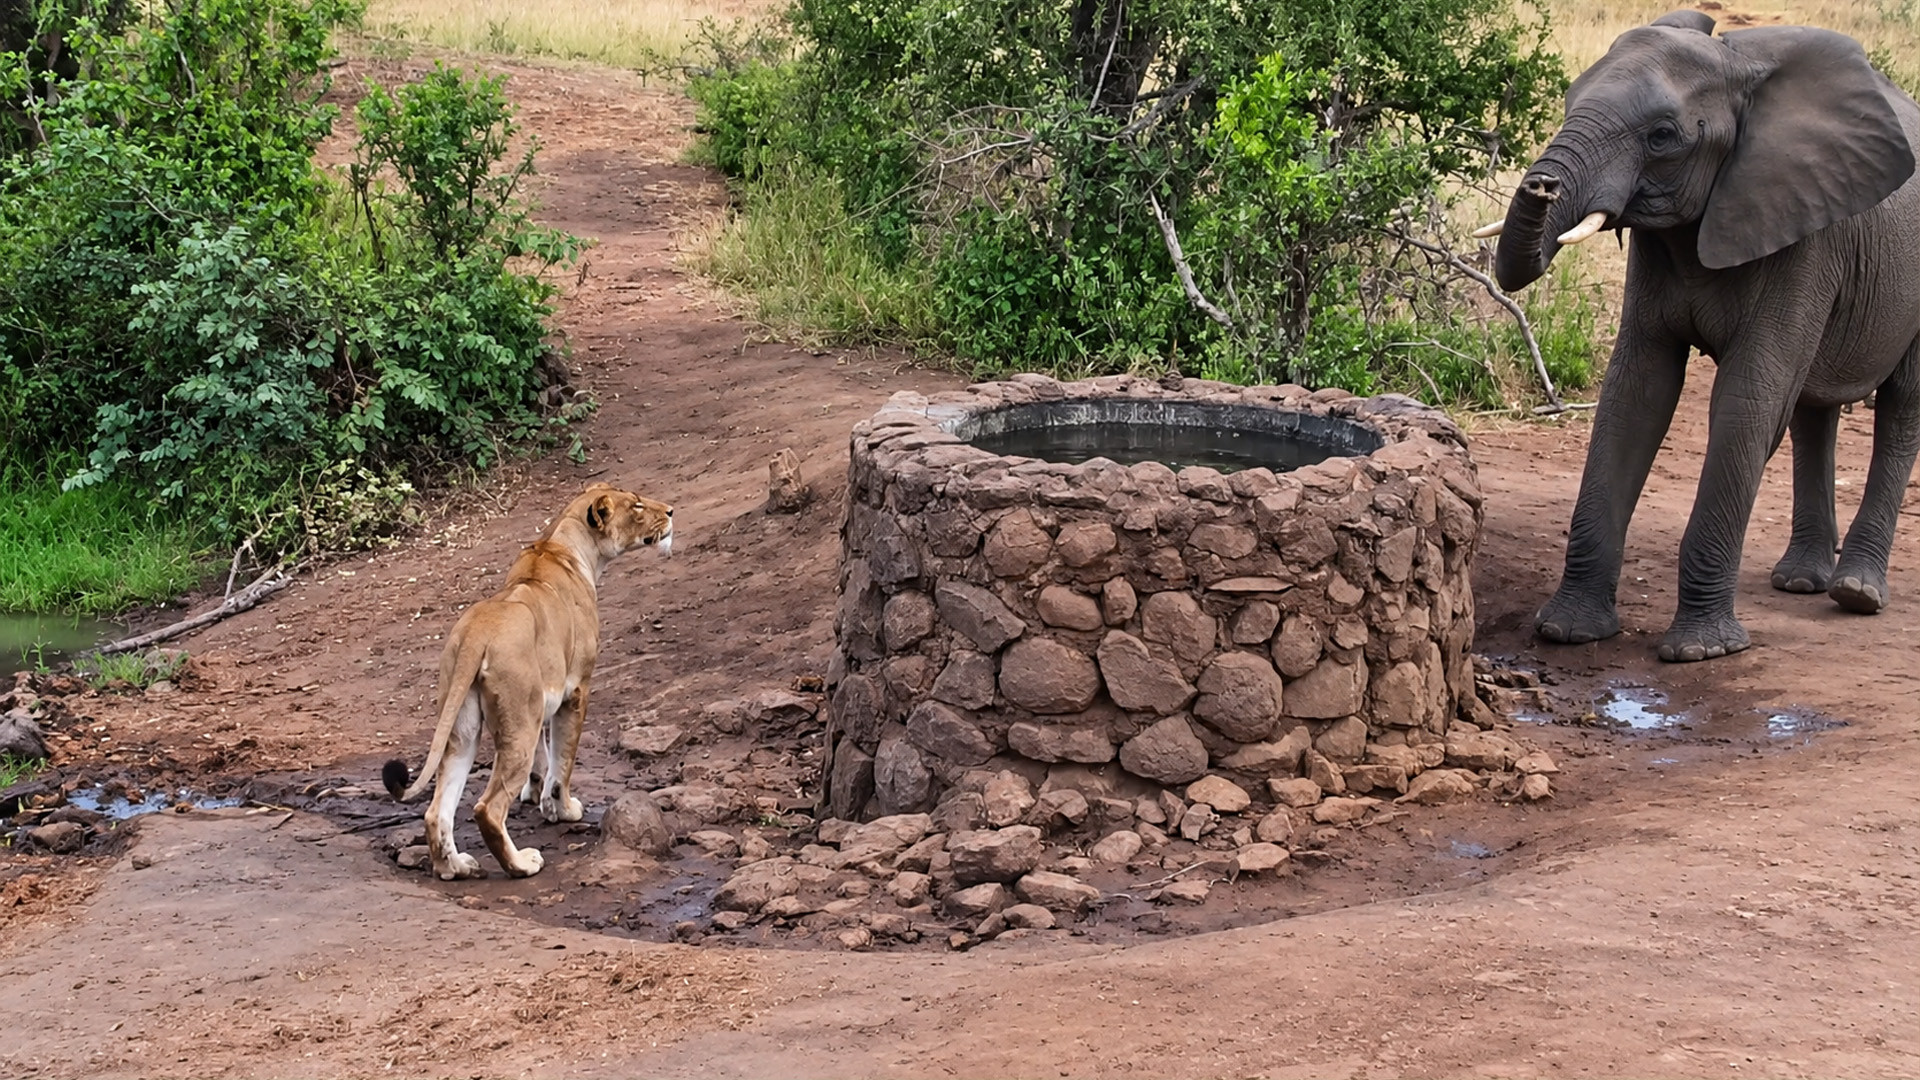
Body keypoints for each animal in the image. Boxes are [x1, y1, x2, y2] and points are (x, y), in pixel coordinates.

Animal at [381, 482, 673, 880]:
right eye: (638, 506)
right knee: (487, 809)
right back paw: (521, 864)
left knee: (436, 811)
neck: (559, 544)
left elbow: (544, 754)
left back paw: (455, 867)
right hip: (518, 723)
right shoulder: (576, 690)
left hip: (464, 728)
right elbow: (563, 759)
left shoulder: (545, 698)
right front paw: (562, 809)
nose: (671, 511)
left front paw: (536, 795)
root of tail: (476, 633)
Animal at [1481, 9, 1920, 662]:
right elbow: (1636, 394)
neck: (1739, 66)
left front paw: (1701, 652)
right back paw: (1800, 582)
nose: (1540, 188)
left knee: (1900, 406)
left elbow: (1747, 401)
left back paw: (1858, 593)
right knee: (1812, 410)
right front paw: (1568, 632)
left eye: (1663, 136)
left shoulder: (1804, 239)